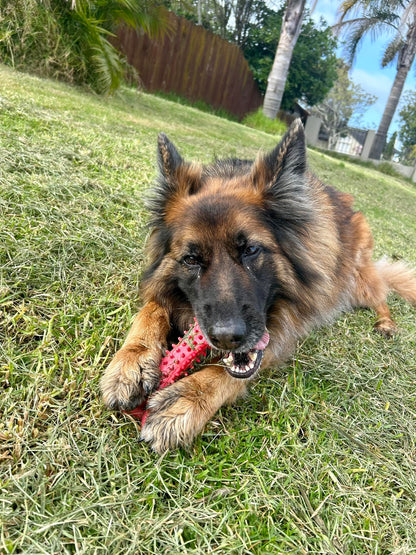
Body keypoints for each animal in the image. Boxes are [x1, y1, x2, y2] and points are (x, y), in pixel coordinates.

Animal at [101, 120, 416, 452]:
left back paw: (385, 323)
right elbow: (151, 310)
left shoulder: (283, 329)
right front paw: (131, 360)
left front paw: (188, 397)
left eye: (250, 249)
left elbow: (227, 372)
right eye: (191, 259)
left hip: (357, 279)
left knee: (381, 294)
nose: (226, 338)